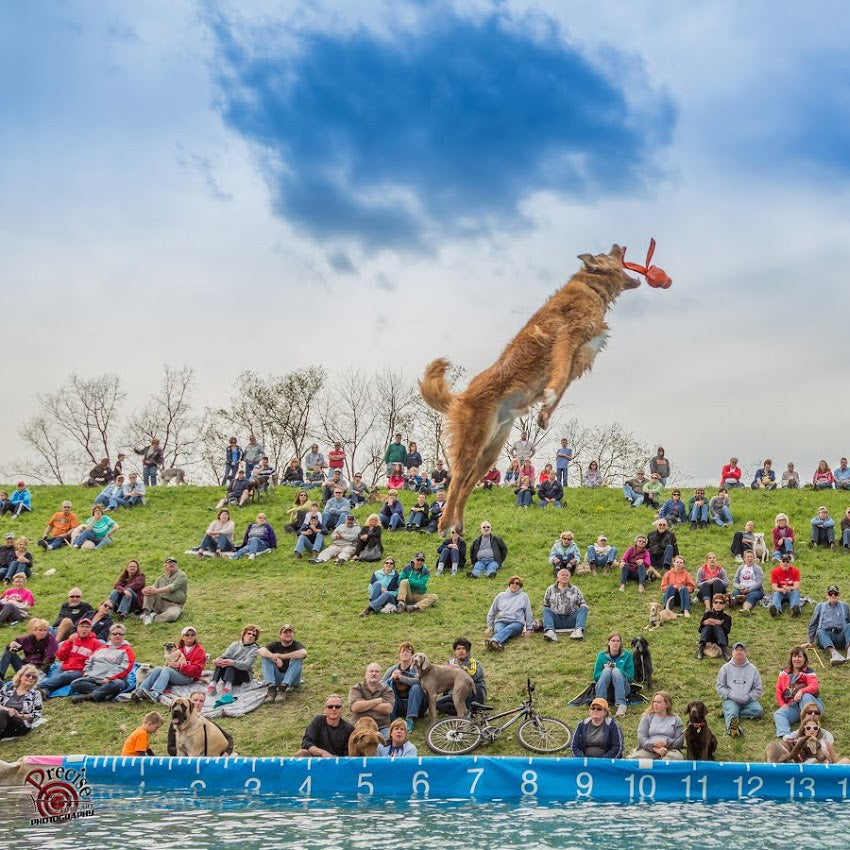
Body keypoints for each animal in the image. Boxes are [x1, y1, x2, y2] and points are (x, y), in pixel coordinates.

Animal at [420, 242, 640, 528]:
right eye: (609, 253)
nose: (618, 245)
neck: (591, 288)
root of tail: (461, 397)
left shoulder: (579, 357)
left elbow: (561, 386)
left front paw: (545, 413)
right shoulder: (567, 338)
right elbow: (559, 377)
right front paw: (549, 397)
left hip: (490, 451)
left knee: (467, 486)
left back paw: (458, 523)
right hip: (472, 443)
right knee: (456, 481)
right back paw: (445, 524)